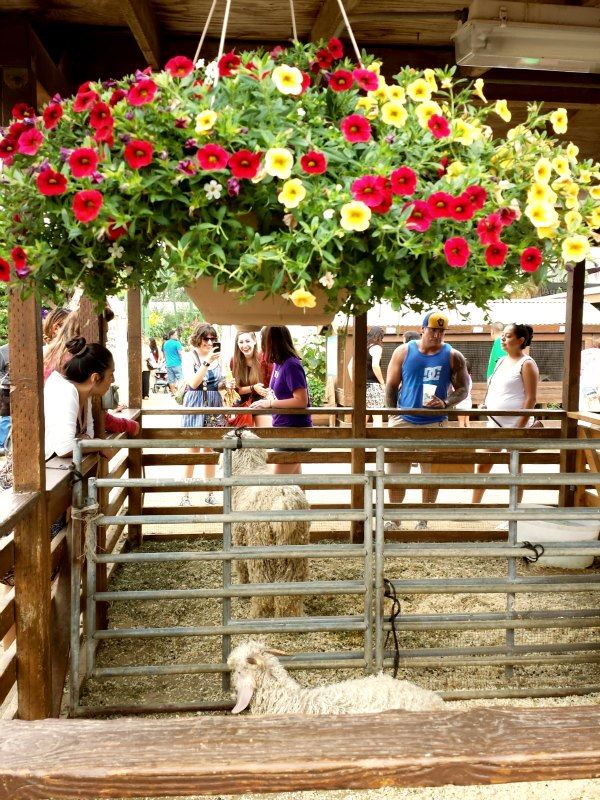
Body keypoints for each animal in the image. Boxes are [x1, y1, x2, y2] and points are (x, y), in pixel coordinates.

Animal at [223, 430, 310, 618]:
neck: (248, 470)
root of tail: (284, 500)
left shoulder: (239, 538)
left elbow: (241, 567)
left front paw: (242, 590)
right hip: (294, 551)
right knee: (288, 592)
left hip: (261, 549)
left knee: (263, 587)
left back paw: (257, 613)